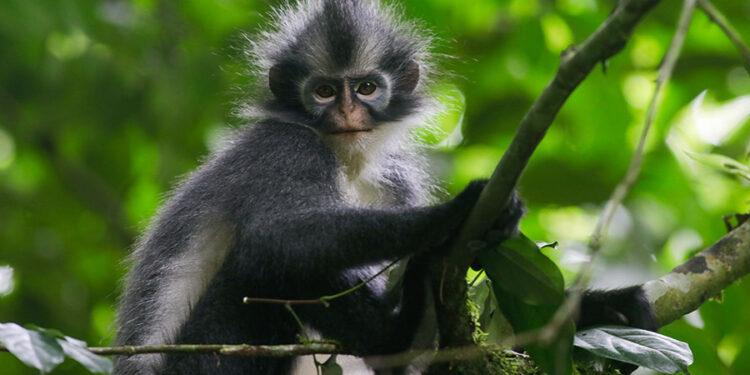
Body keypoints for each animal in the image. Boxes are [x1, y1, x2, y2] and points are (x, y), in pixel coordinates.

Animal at [111, 0, 656, 375]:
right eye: (324, 91)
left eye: (366, 88)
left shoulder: (393, 178)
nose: (348, 113)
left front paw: (599, 307)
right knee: (260, 263)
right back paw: (401, 330)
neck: (346, 162)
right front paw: (455, 214)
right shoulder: (286, 147)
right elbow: (275, 237)